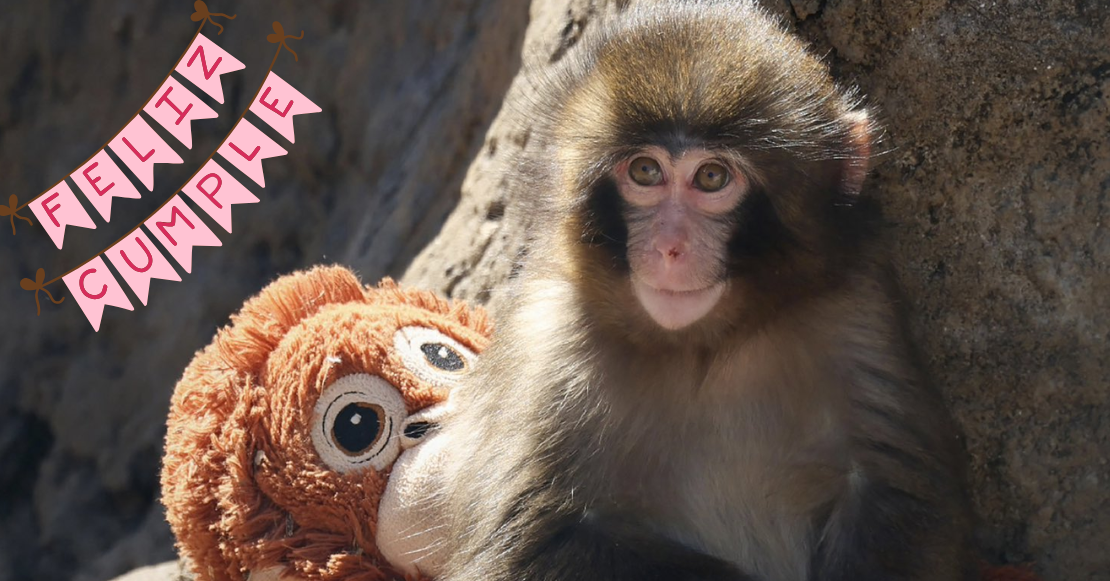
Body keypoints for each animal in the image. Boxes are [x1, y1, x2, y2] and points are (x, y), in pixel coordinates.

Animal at [430, 2, 974, 580]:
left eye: (712, 177)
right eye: (646, 171)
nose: (670, 246)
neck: (702, 345)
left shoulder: (856, 306)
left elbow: (897, 495)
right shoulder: (550, 341)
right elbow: (531, 543)